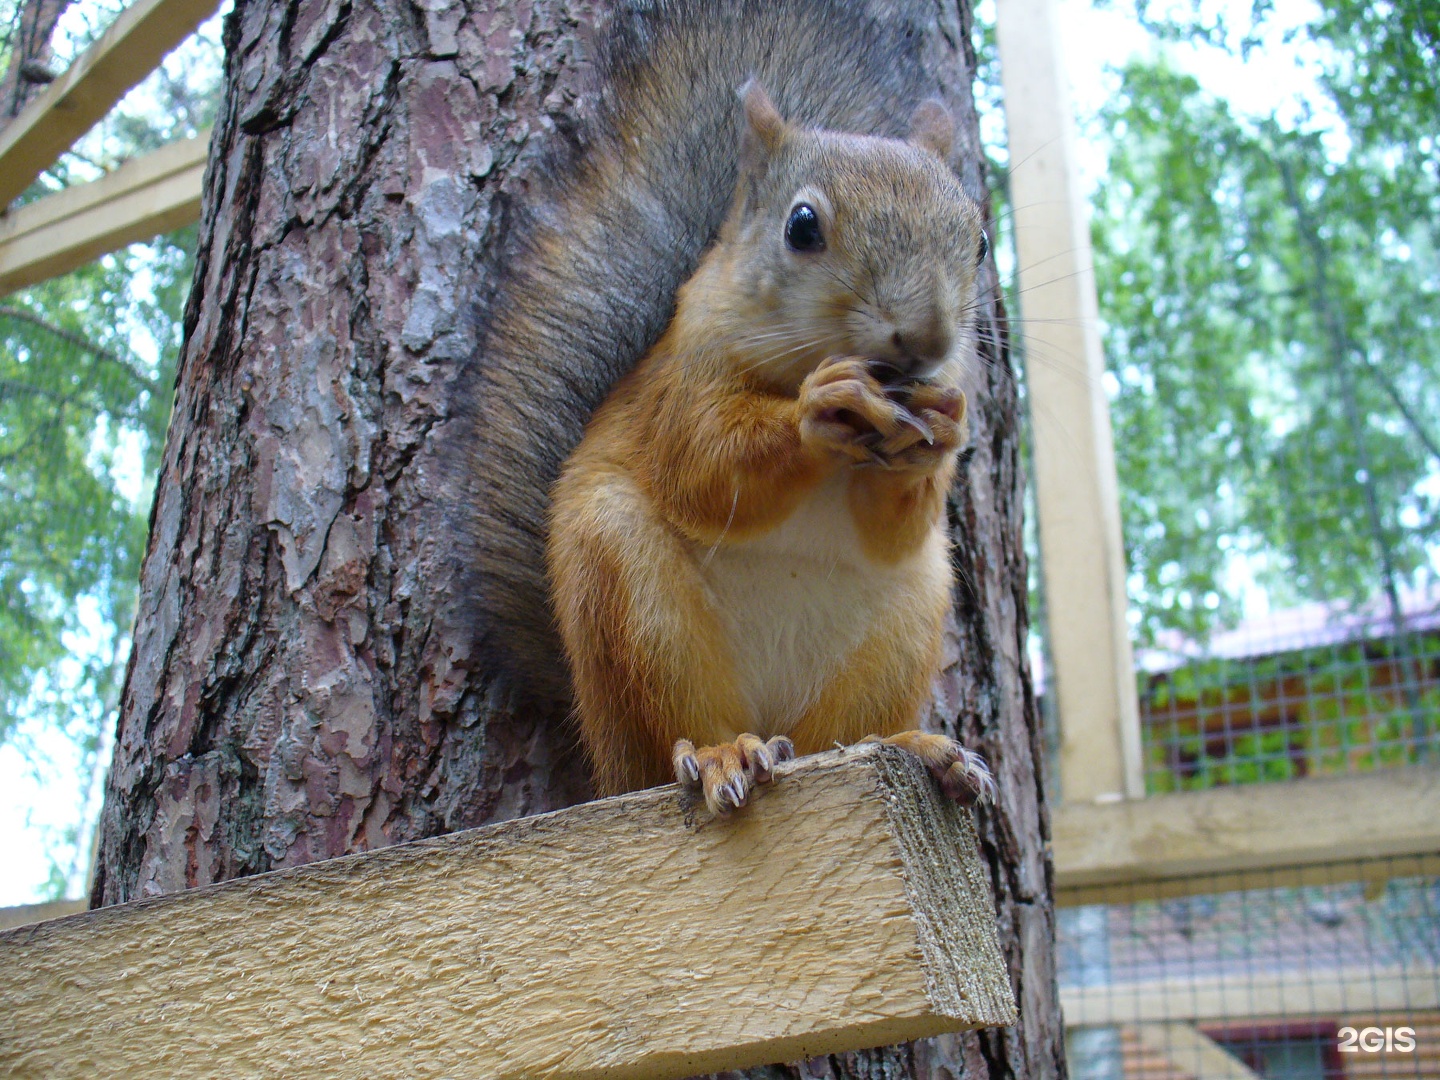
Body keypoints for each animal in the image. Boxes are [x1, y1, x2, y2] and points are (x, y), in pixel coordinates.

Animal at [449, 0, 990, 812]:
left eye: (979, 239)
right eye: (802, 226)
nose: (926, 339)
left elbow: (895, 528)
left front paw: (941, 429)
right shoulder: (680, 383)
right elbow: (705, 469)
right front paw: (819, 410)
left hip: (908, 617)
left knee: (838, 740)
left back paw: (914, 747)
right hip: (631, 600)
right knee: (677, 736)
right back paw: (717, 755)